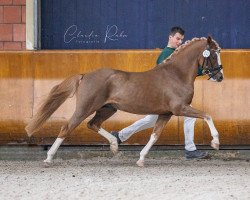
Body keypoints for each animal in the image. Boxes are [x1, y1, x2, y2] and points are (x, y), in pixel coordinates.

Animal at [25, 36, 225, 167]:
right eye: (213, 54)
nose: (220, 77)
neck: (176, 74)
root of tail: (85, 75)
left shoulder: (165, 113)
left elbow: (154, 135)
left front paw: (141, 159)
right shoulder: (179, 108)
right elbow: (207, 115)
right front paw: (215, 143)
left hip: (107, 109)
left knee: (92, 124)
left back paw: (114, 144)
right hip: (85, 107)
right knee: (67, 127)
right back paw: (49, 158)